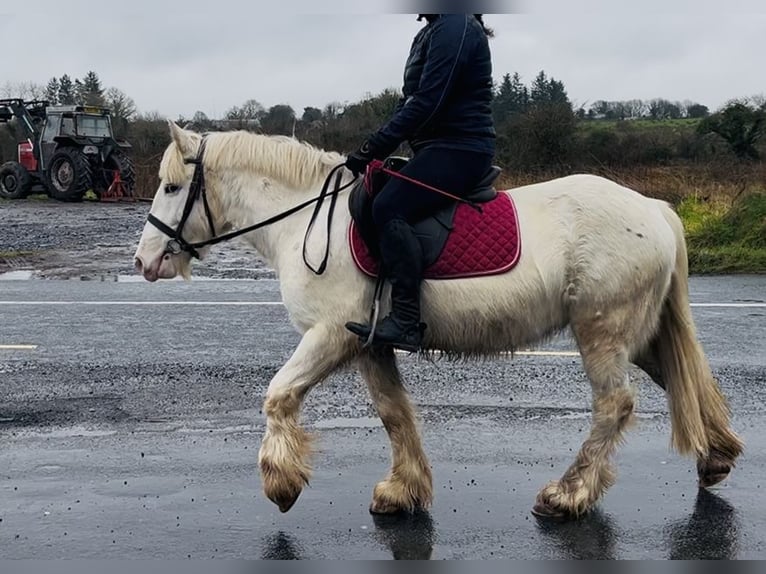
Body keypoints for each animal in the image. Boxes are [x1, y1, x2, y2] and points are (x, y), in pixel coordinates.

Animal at [133, 121, 743, 520]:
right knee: (686, 384)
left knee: (615, 405)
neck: (304, 220)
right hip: (637, 334)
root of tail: (653, 209)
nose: (143, 263)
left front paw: (282, 484)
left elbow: (279, 395)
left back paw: (568, 495)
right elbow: (394, 414)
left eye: (170, 187)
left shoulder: (328, 336)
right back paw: (715, 456)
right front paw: (403, 491)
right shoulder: (368, 345)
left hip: (602, 331)